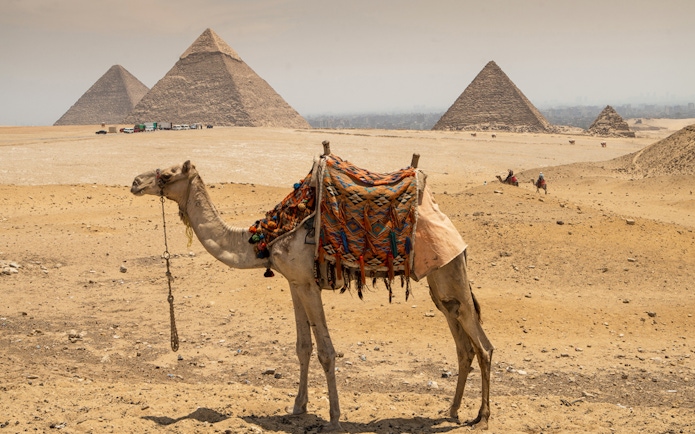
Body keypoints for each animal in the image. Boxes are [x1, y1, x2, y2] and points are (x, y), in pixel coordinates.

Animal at [130, 157, 494, 431]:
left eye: (167, 174)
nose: (135, 181)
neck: (262, 240)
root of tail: (458, 237)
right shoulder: (294, 283)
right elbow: (302, 347)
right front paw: (298, 406)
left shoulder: (308, 284)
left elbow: (326, 351)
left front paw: (334, 416)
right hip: (440, 286)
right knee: (463, 345)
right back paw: (453, 411)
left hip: (450, 271)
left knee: (483, 346)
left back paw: (482, 416)